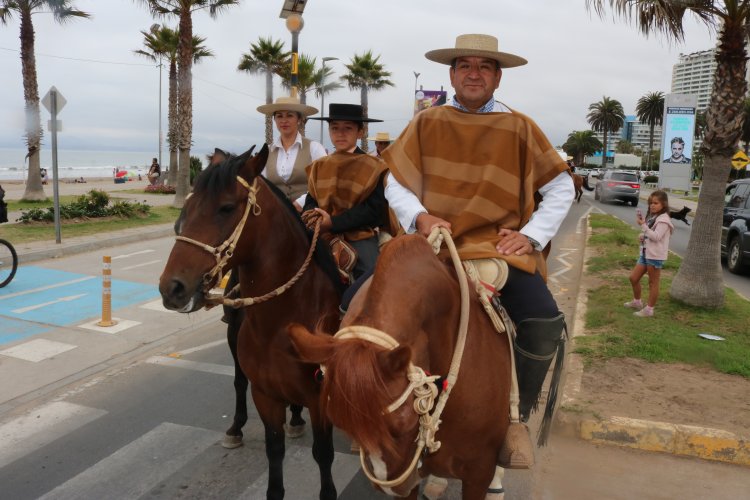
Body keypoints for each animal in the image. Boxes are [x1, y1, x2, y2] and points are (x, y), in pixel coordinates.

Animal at [162, 145, 346, 500]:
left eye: (226, 208)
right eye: (187, 206)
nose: (171, 287)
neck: (282, 322)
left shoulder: (321, 399)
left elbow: (324, 454)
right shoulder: (265, 392)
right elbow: (273, 448)